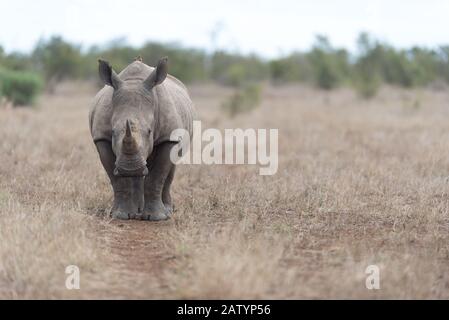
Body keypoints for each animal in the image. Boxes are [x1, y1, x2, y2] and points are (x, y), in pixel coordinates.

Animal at [89, 57, 194, 220]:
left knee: (170, 168)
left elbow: (157, 176)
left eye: (150, 131)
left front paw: (156, 217)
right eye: (112, 132)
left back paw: (167, 210)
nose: (130, 167)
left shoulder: (168, 137)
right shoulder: (101, 137)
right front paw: (120, 215)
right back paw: (136, 210)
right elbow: (116, 180)